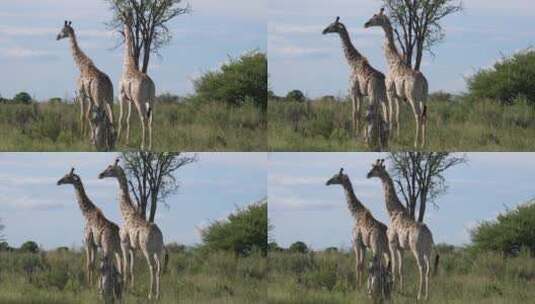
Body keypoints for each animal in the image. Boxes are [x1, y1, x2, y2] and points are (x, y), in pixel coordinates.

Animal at [98, 159, 168, 300]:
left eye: (111, 169)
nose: (100, 175)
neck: (127, 214)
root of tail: (158, 235)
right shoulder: (133, 248)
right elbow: (132, 268)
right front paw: (132, 288)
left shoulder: (124, 244)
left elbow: (125, 267)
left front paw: (124, 289)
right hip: (158, 251)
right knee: (158, 268)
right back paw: (158, 295)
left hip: (147, 250)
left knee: (152, 267)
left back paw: (150, 295)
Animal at [118, 11, 156, 150]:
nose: (124, 24)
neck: (127, 65)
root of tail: (149, 84)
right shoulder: (130, 99)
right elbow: (128, 118)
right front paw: (127, 141)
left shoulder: (121, 95)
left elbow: (121, 118)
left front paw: (118, 139)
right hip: (151, 99)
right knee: (151, 120)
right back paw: (150, 146)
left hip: (140, 101)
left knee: (143, 118)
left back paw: (142, 145)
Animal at [322, 16, 390, 150]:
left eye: (332, 25)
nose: (324, 31)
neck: (352, 63)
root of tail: (381, 80)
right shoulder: (361, 94)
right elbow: (359, 112)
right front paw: (358, 133)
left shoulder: (353, 91)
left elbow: (355, 112)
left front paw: (354, 134)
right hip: (383, 96)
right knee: (386, 112)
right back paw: (385, 138)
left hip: (373, 94)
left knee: (374, 114)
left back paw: (372, 140)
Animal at [362, 7, 430, 148]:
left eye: (375, 17)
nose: (366, 24)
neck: (392, 61)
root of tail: (423, 83)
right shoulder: (398, 96)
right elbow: (398, 116)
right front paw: (398, 136)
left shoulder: (390, 92)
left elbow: (391, 114)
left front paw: (390, 136)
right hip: (424, 98)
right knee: (425, 116)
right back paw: (423, 143)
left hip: (412, 97)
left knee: (417, 115)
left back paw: (416, 143)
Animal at [368, 159, 440, 300]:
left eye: (375, 168)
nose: (368, 174)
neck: (393, 212)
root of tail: (428, 235)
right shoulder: (401, 248)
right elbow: (401, 269)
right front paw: (401, 289)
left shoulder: (392, 244)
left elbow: (394, 267)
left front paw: (394, 288)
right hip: (428, 250)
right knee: (428, 269)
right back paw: (427, 296)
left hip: (416, 248)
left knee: (422, 267)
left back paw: (419, 295)